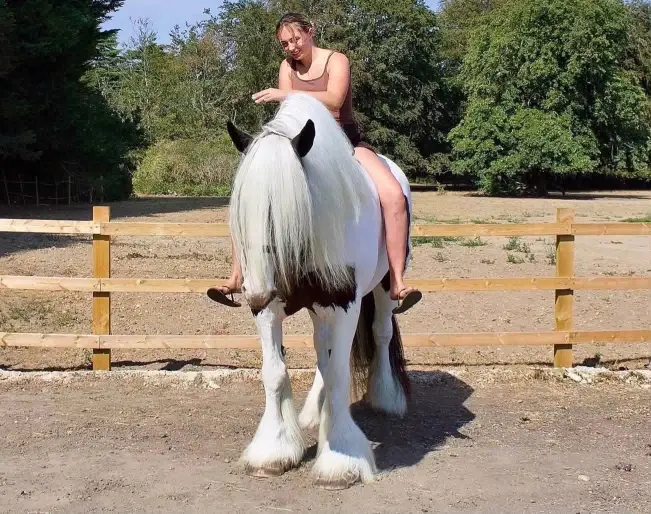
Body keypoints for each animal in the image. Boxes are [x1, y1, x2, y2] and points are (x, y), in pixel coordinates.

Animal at [223, 92, 413, 489]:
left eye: (281, 209)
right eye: (240, 211)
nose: (255, 292)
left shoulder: (344, 304)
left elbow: (339, 373)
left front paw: (341, 460)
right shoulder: (269, 309)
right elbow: (275, 371)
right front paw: (274, 450)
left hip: (384, 289)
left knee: (381, 334)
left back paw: (386, 398)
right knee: (322, 352)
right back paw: (314, 411)